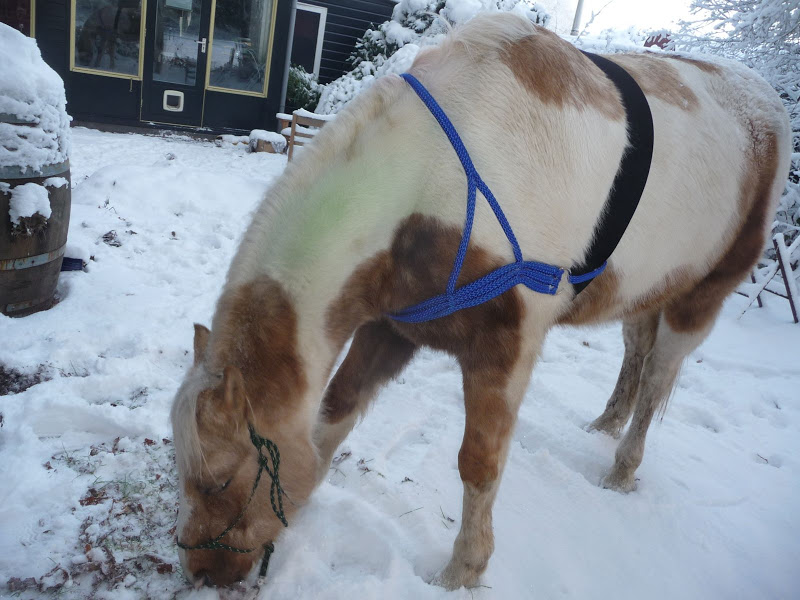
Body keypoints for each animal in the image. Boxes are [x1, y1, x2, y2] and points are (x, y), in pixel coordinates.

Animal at [172, 12, 792, 592]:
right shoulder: (392, 326)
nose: (202, 572)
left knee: (659, 377)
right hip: (644, 288)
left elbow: (479, 463)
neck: (438, 180)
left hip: (699, 298)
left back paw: (621, 469)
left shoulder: (506, 349)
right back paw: (605, 423)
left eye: (219, 480)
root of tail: (770, 106)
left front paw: (461, 572)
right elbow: (335, 412)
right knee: (637, 350)